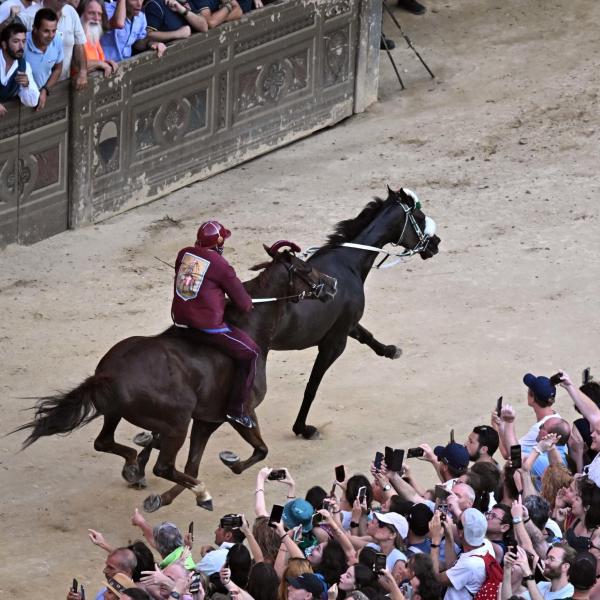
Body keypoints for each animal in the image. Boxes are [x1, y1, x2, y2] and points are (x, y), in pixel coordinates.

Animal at [14, 244, 336, 510]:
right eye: (306, 268)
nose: (332, 285)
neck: (248, 325)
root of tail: (109, 374)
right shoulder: (238, 414)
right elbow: (259, 450)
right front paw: (225, 467)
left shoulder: (206, 420)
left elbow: (192, 465)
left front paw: (164, 491)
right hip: (177, 423)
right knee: (164, 467)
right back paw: (194, 489)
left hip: (117, 413)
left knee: (105, 443)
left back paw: (136, 467)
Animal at [270, 189, 440, 440]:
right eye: (419, 216)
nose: (436, 243)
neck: (346, 263)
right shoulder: (334, 342)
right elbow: (312, 386)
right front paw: (302, 428)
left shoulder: (346, 324)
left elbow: (366, 335)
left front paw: (390, 350)